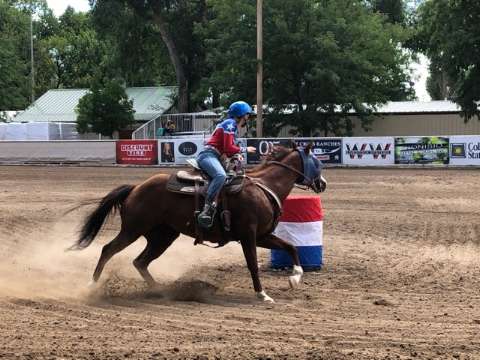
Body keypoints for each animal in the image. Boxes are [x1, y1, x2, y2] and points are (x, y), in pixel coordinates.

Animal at [70, 145, 326, 302]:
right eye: (317, 162)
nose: (322, 183)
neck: (265, 187)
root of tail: (135, 188)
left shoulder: (263, 236)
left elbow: (291, 247)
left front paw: (295, 277)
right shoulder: (249, 235)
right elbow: (253, 264)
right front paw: (262, 294)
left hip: (163, 236)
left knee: (140, 261)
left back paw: (161, 290)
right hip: (133, 229)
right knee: (108, 250)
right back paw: (91, 286)